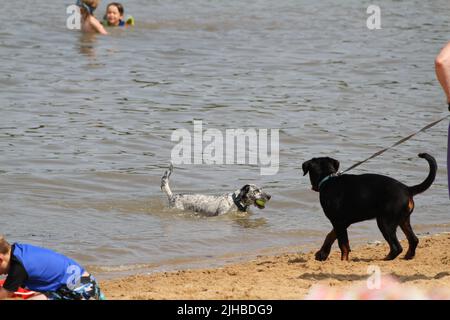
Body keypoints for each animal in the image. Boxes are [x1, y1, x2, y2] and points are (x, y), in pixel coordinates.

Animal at [302, 154, 436, 262]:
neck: (328, 179)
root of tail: (408, 189)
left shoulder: (338, 221)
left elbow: (343, 244)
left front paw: (343, 261)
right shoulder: (343, 222)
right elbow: (331, 235)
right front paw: (322, 254)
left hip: (385, 222)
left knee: (396, 247)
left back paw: (385, 260)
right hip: (403, 220)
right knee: (413, 239)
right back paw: (408, 256)